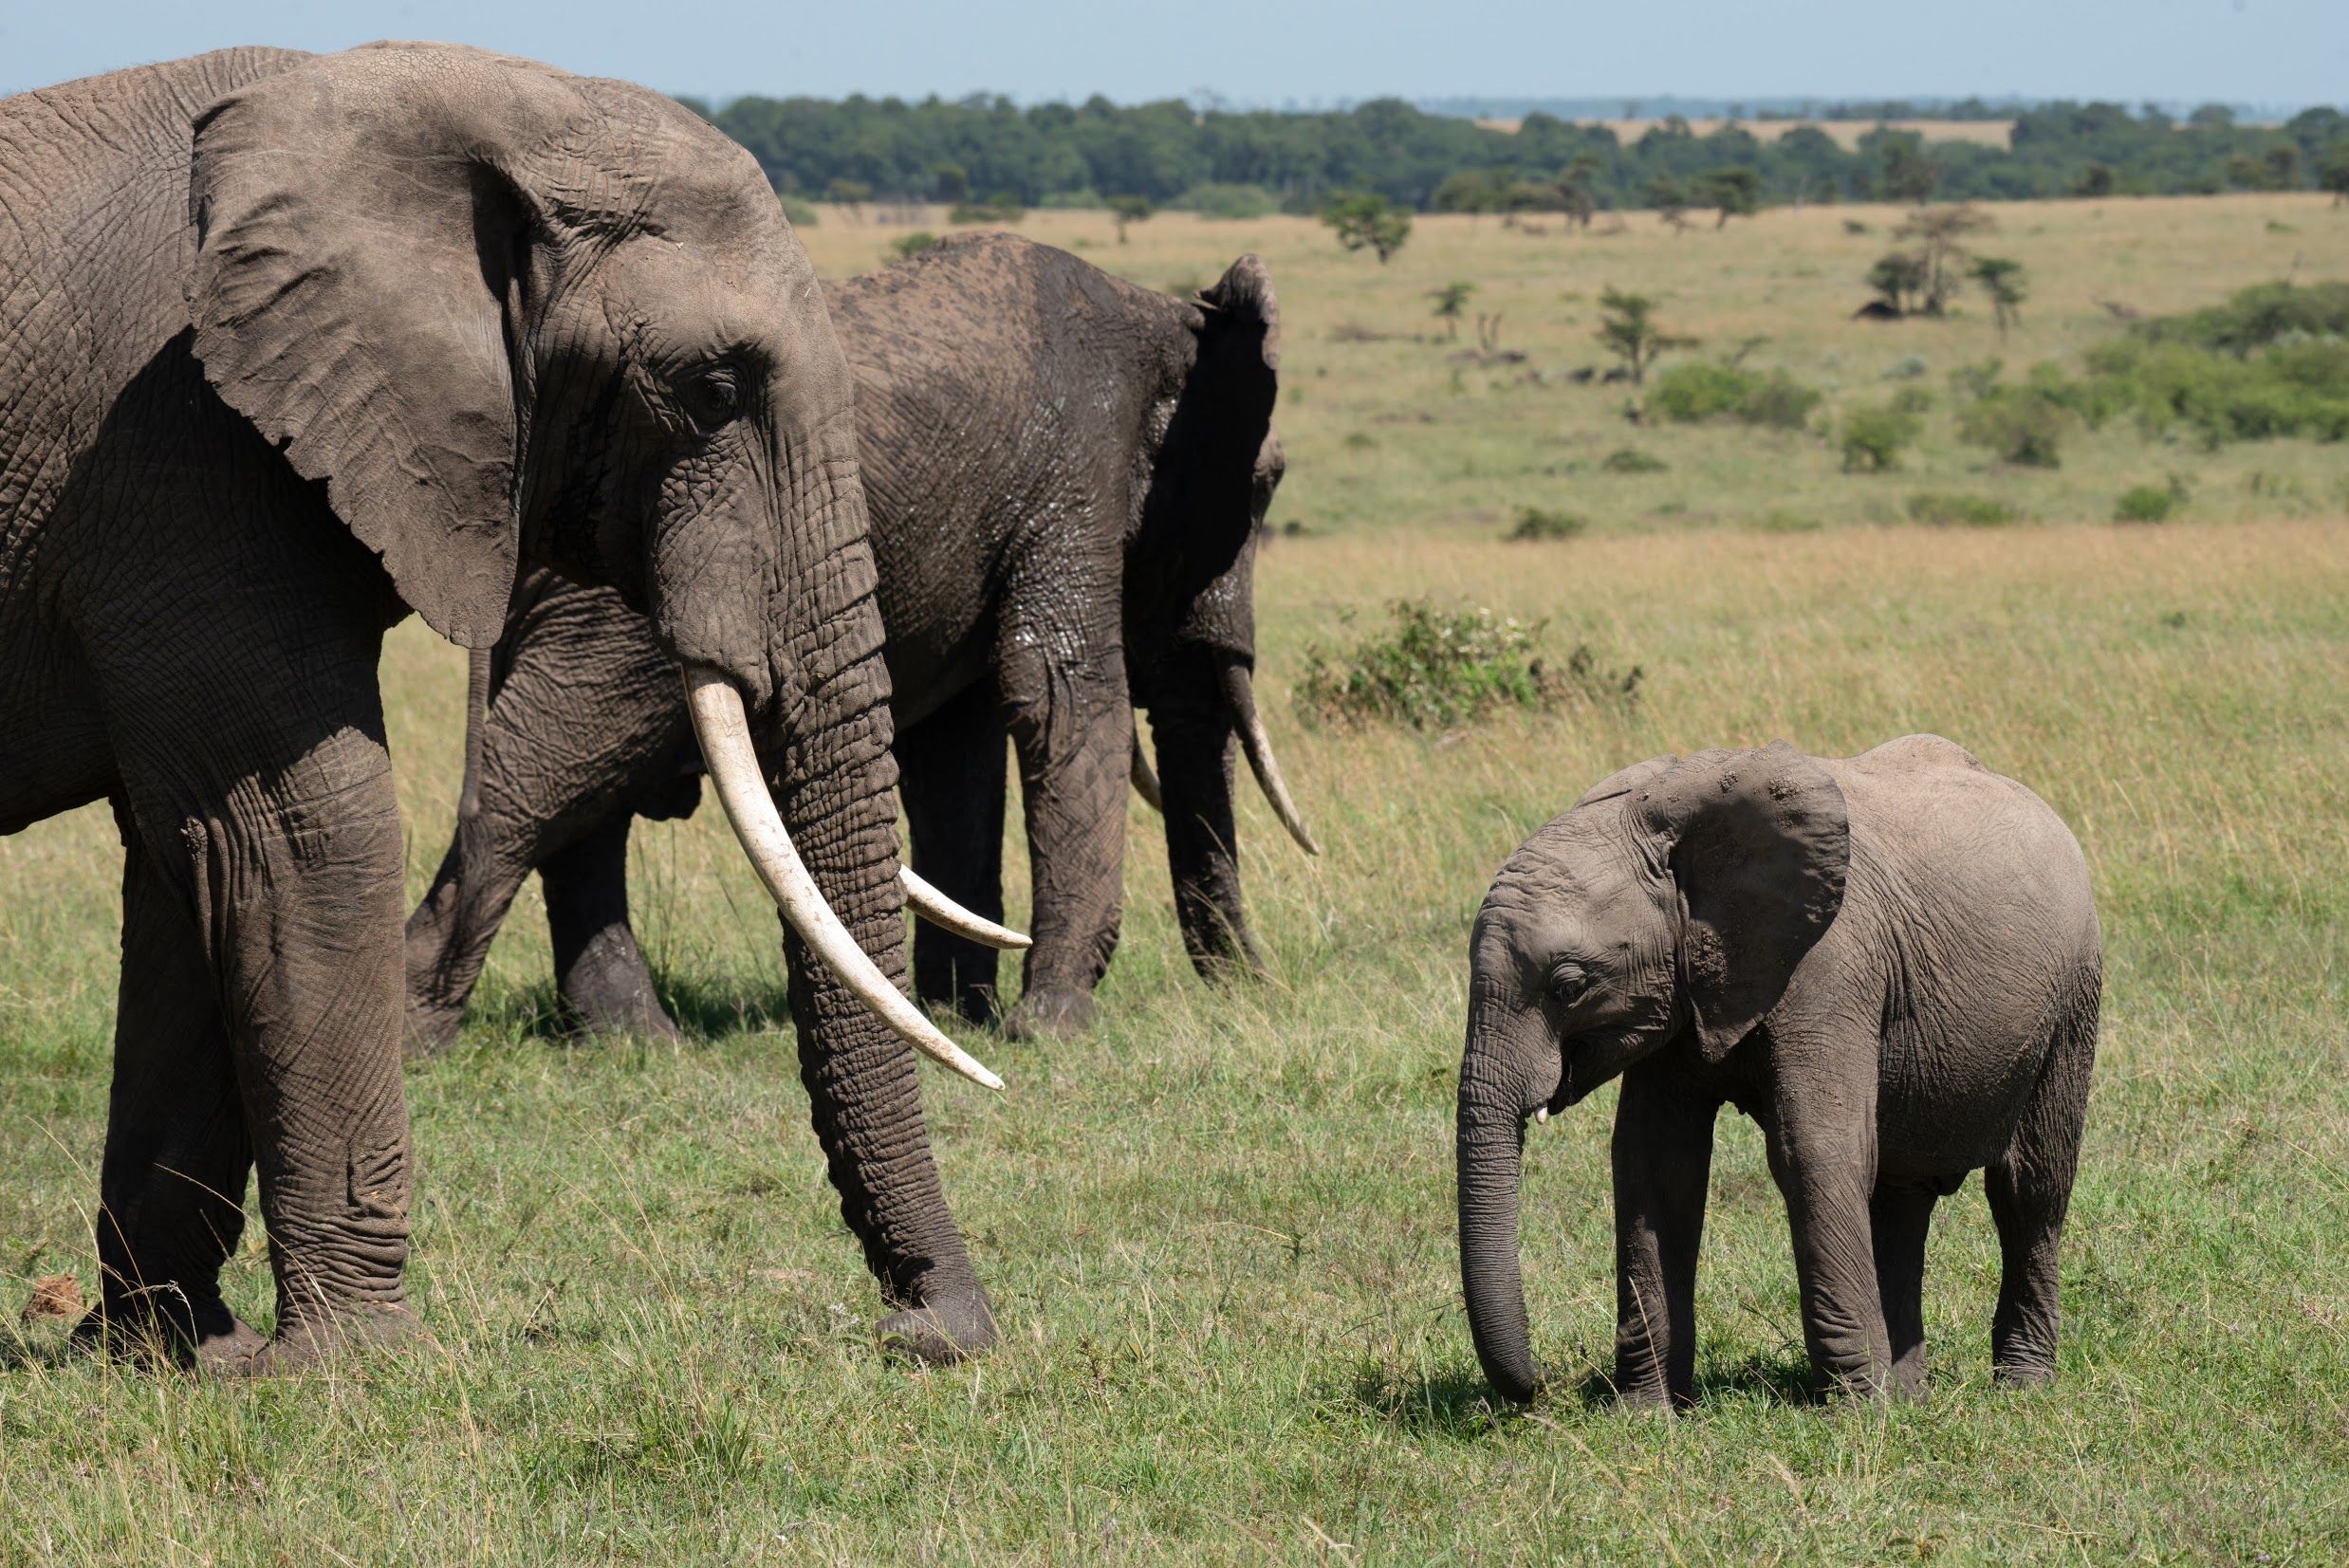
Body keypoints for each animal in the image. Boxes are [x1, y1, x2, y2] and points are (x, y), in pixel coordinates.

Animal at [0, 43, 1012, 1372]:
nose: (925, 1330)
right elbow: (298, 836)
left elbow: (191, 865)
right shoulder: (177, 447)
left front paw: (179, 1355)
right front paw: (354, 1368)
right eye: (712, 388)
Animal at [403, 231, 1315, 1048]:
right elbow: (1061, 695)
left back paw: (634, 1041)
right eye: (1263, 486)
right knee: (535, 781)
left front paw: (961, 1013)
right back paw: (425, 1035)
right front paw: (1051, 1028)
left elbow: (958, 753)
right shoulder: (1077, 471)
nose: (1255, 985)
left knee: (582, 802)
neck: (1162, 317)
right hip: (615, 611)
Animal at [1458, 736, 2100, 1405]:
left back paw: (2019, 1390)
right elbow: (1654, 1161)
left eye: (1568, 985)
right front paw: (1643, 1413)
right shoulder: (1681, 984)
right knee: (1901, 1196)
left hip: (2073, 997)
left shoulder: (1829, 966)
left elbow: (1813, 1149)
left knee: (2029, 1189)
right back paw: (1911, 1399)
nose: (1539, 1388)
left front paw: (1855, 1413)